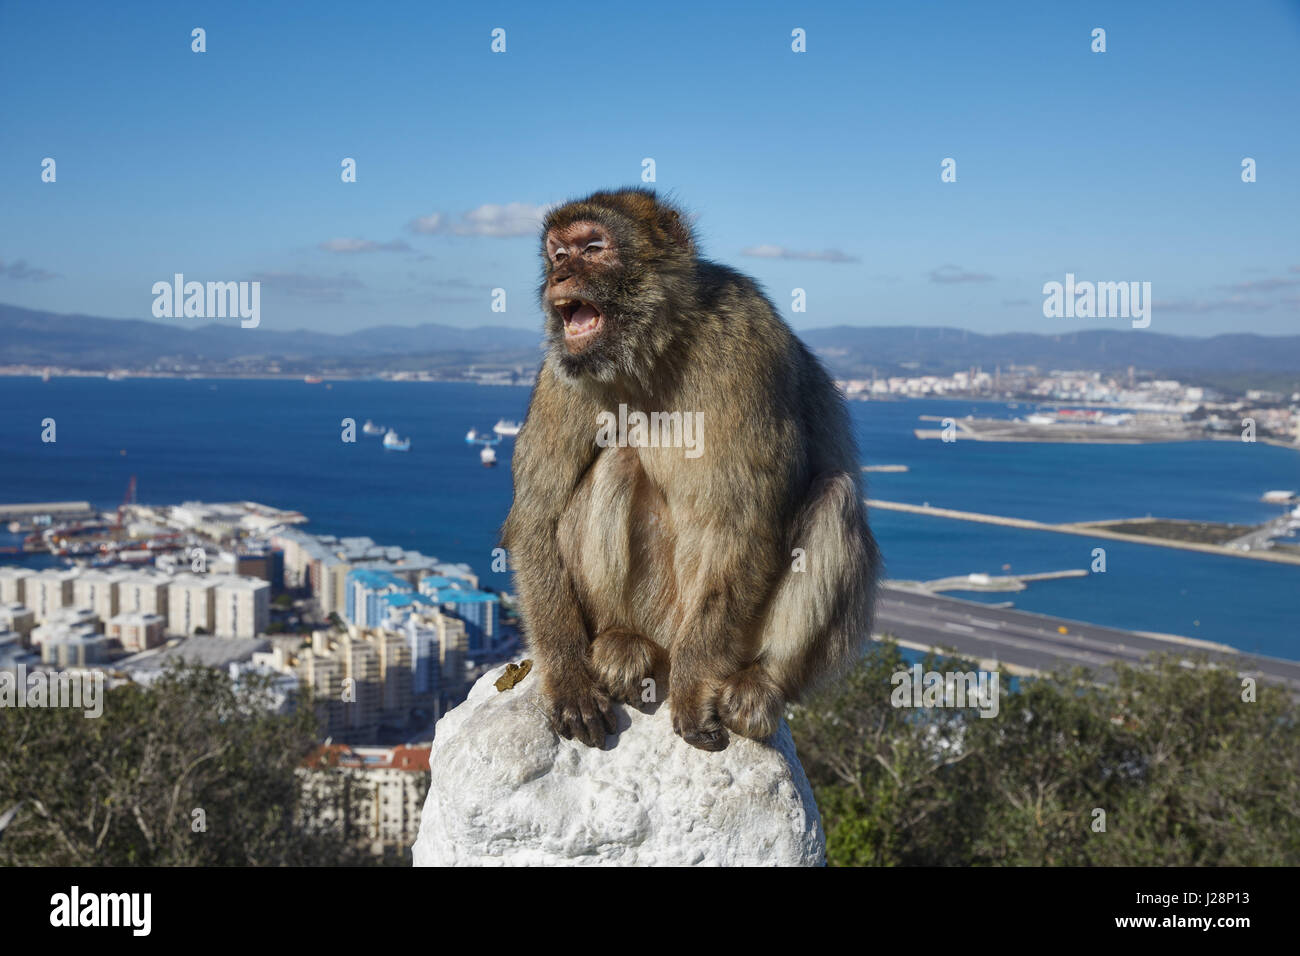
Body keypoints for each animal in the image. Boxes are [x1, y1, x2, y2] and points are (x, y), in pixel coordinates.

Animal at [501, 187, 878, 749]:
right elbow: (536, 516)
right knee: (619, 459)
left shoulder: (747, 343)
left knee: (835, 494)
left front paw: (695, 684)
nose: (559, 276)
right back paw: (621, 642)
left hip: (727, 636)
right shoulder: (560, 373)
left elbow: (746, 522)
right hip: (655, 615)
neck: (655, 350)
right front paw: (569, 679)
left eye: (592, 247)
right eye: (557, 253)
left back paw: (758, 683)